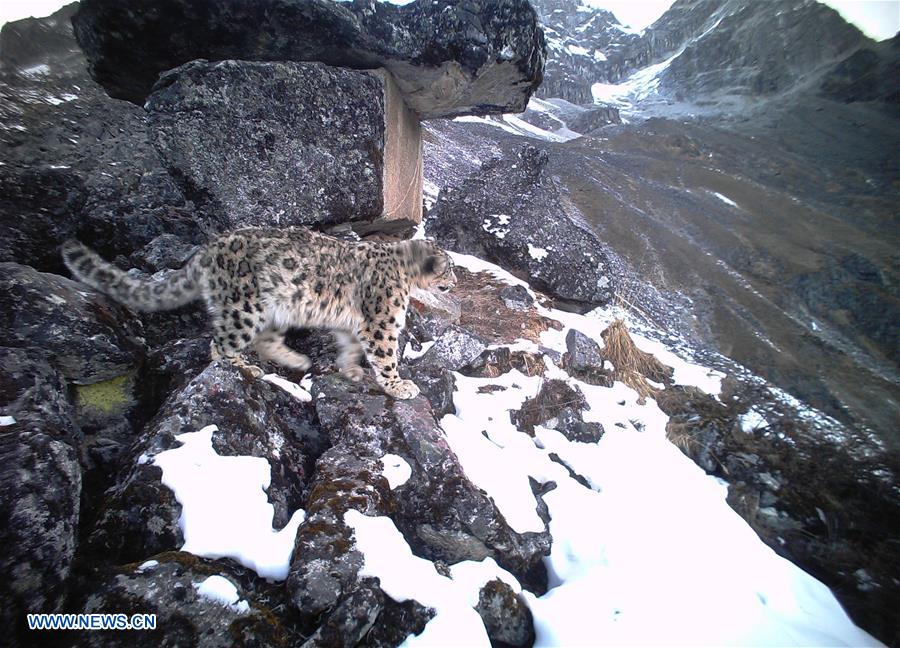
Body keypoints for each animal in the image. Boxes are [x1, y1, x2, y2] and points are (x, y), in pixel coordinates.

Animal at [61, 227, 456, 399]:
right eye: (449, 269)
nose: (454, 281)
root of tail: (208, 250)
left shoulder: (352, 324)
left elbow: (350, 346)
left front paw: (351, 371)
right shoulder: (381, 321)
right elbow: (385, 354)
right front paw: (399, 385)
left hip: (273, 309)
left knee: (265, 340)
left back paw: (296, 360)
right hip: (243, 306)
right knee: (220, 344)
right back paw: (244, 367)